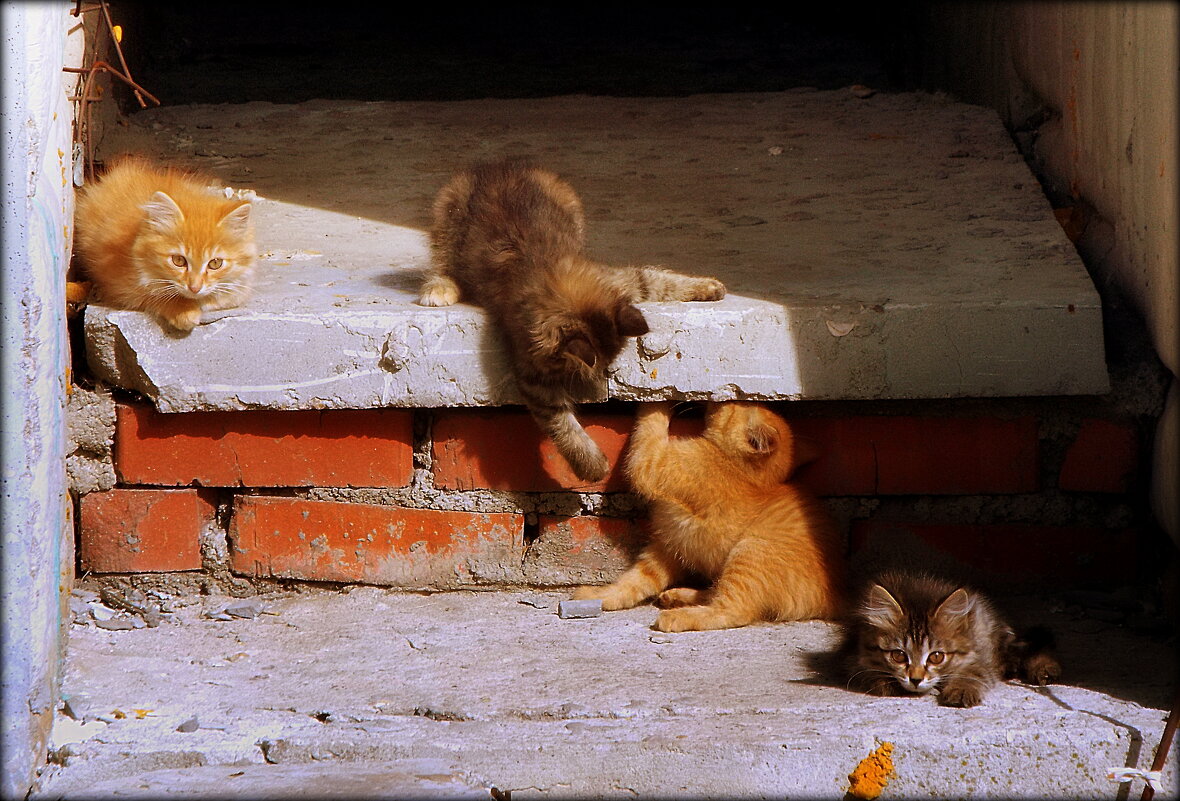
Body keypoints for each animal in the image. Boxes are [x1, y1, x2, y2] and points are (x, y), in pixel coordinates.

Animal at [73, 156, 256, 332]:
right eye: (179, 261)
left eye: (215, 263)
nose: (194, 288)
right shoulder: (118, 284)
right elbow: (156, 294)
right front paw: (184, 311)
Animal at [573, 401, 844, 632]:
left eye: (738, 404)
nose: (723, 398)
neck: (741, 471)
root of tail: (838, 594)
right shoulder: (670, 547)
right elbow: (634, 581)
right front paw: (602, 596)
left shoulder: (652, 461)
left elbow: (650, 426)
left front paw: (658, 400)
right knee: (716, 592)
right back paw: (679, 596)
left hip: (750, 551)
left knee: (732, 610)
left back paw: (680, 616)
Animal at [840, 570, 1062, 707]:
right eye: (898, 656)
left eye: (936, 657)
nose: (916, 680)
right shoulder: (852, 657)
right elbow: (870, 674)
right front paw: (888, 683)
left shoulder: (980, 657)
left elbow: (974, 673)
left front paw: (961, 690)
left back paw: (1044, 669)